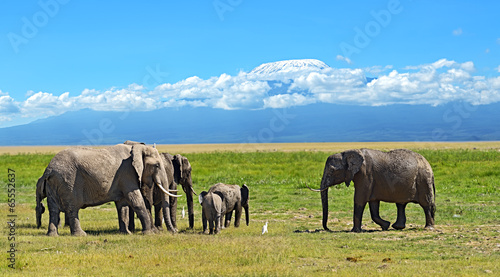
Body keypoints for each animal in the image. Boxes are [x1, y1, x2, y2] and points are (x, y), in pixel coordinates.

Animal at [35, 142, 180, 235]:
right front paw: (148, 233)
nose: (175, 232)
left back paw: (52, 235)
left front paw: (126, 233)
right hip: (67, 181)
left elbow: (122, 205)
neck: (137, 148)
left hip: (54, 183)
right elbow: (136, 201)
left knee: (53, 210)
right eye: (157, 165)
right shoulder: (127, 174)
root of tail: (48, 169)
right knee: (72, 208)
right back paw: (81, 235)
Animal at [306, 148, 436, 232]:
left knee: (426, 204)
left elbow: (359, 199)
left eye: (332, 171)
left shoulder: (365, 175)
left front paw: (355, 231)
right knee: (401, 204)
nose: (328, 229)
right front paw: (385, 226)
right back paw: (397, 227)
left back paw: (428, 228)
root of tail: (429, 165)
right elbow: (373, 205)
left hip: (423, 180)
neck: (346, 152)